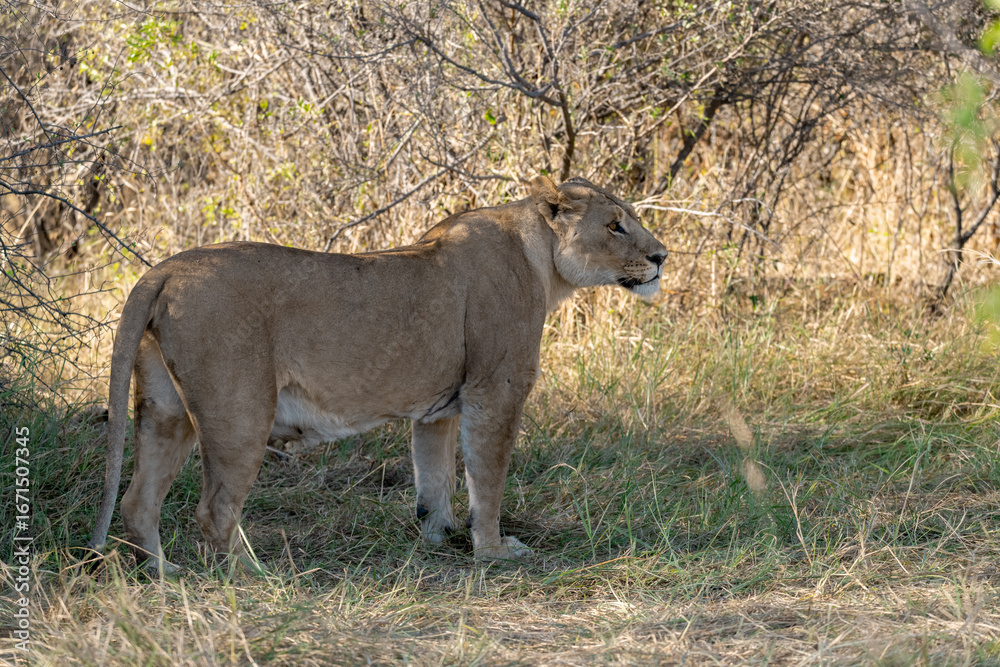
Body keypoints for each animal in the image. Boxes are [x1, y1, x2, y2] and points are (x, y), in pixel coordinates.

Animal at [89, 175, 667, 572]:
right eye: (614, 225)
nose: (662, 256)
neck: (544, 262)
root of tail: (165, 268)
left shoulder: (439, 410)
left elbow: (434, 479)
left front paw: (438, 538)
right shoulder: (495, 391)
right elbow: (488, 479)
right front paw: (494, 551)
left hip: (166, 410)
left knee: (138, 502)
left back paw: (166, 574)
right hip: (240, 412)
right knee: (214, 511)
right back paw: (255, 577)